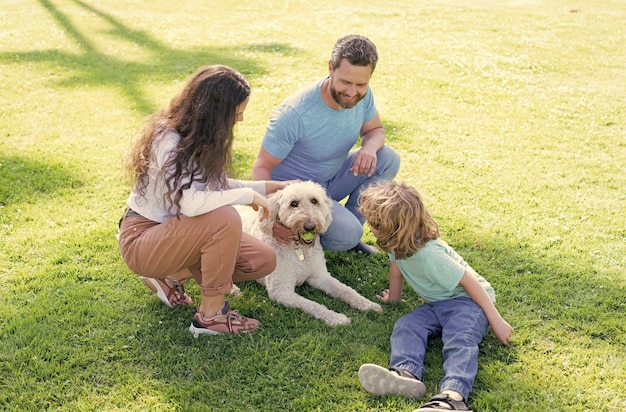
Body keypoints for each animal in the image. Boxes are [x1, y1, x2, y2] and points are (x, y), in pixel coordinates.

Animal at [234, 182, 380, 326]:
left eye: (314, 201)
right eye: (293, 203)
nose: (310, 226)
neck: (299, 250)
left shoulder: (320, 277)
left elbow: (346, 290)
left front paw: (368, 304)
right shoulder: (281, 291)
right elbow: (313, 305)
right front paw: (336, 318)